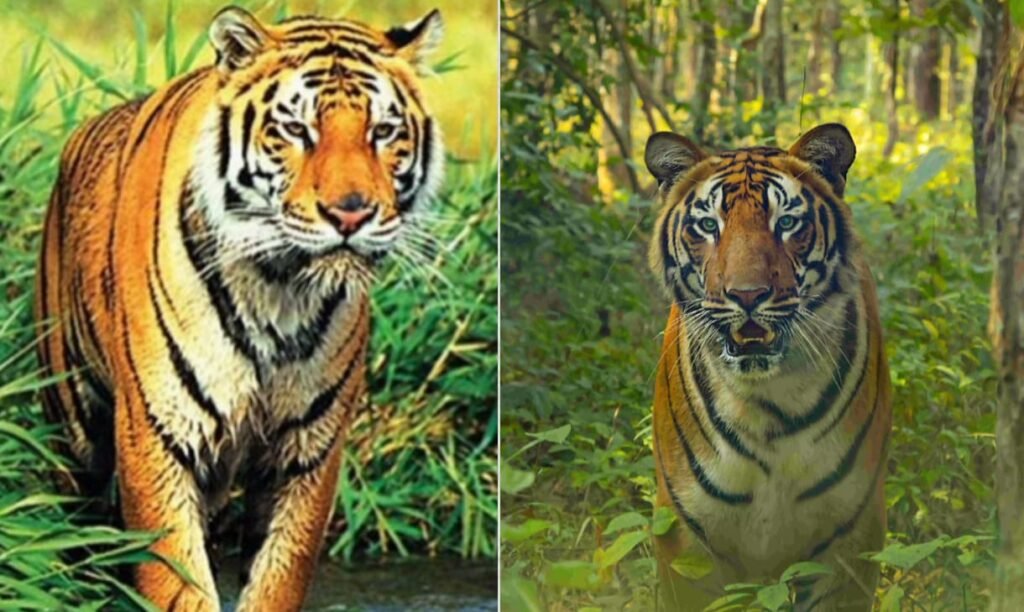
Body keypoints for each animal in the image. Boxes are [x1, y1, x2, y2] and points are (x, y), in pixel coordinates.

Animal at [34, 7, 444, 610]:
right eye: (295, 129)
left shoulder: (306, 451)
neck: (279, 285)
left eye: (383, 131)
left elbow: (277, 573)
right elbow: (176, 578)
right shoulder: (158, 434)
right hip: (73, 422)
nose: (350, 214)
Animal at [644, 124, 892, 611]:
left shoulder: (850, 535)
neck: (767, 402)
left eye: (787, 223)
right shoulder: (685, 536)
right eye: (708, 225)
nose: (747, 295)